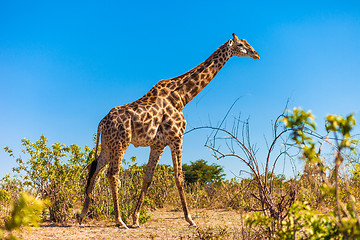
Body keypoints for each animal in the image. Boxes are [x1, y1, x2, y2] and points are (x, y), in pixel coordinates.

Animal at [77, 32, 260, 228]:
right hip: (121, 143)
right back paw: (119, 220)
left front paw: (136, 218)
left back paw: (82, 214)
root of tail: (102, 122)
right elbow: (179, 178)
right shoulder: (176, 137)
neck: (181, 97)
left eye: (247, 43)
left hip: (107, 144)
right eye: (241, 45)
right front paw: (190, 219)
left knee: (95, 168)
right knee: (112, 174)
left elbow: (147, 178)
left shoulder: (158, 145)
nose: (256, 54)